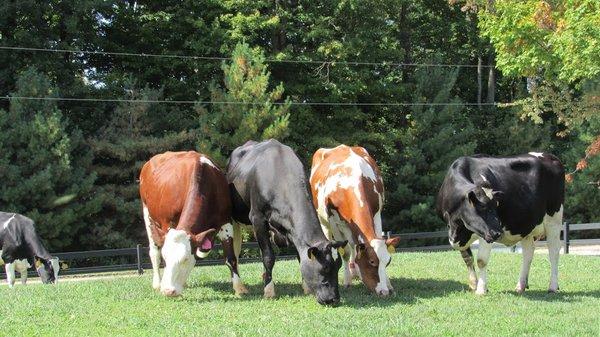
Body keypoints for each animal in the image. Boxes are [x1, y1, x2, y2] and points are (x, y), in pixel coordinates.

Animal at [139, 151, 246, 296]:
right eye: (166, 258)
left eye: (185, 259)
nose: (168, 291)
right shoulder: (167, 224)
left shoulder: (225, 221)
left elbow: (230, 257)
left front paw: (239, 288)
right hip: (147, 213)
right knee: (154, 251)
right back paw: (157, 283)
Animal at [226, 139, 346, 304]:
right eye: (325, 268)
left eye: (338, 266)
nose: (333, 299)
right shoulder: (257, 218)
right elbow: (268, 256)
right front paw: (269, 291)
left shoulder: (291, 229)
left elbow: (298, 255)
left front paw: (306, 288)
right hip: (234, 218)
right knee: (234, 254)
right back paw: (240, 287)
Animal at [310, 143, 398, 296]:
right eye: (372, 262)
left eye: (388, 262)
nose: (384, 292)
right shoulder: (334, 220)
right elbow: (345, 252)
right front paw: (347, 282)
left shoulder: (376, 214)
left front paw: (388, 284)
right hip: (323, 220)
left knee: (353, 244)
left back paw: (354, 271)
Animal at [436, 152, 564, 294]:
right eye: (482, 209)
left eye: (496, 207)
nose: (497, 233)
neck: (456, 227)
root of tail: (550, 156)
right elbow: (467, 258)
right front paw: (474, 284)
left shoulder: (485, 234)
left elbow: (481, 260)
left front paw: (481, 290)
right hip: (527, 225)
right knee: (528, 253)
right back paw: (521, 286)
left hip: (554, 220)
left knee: (554, 251)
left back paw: (553, 286)